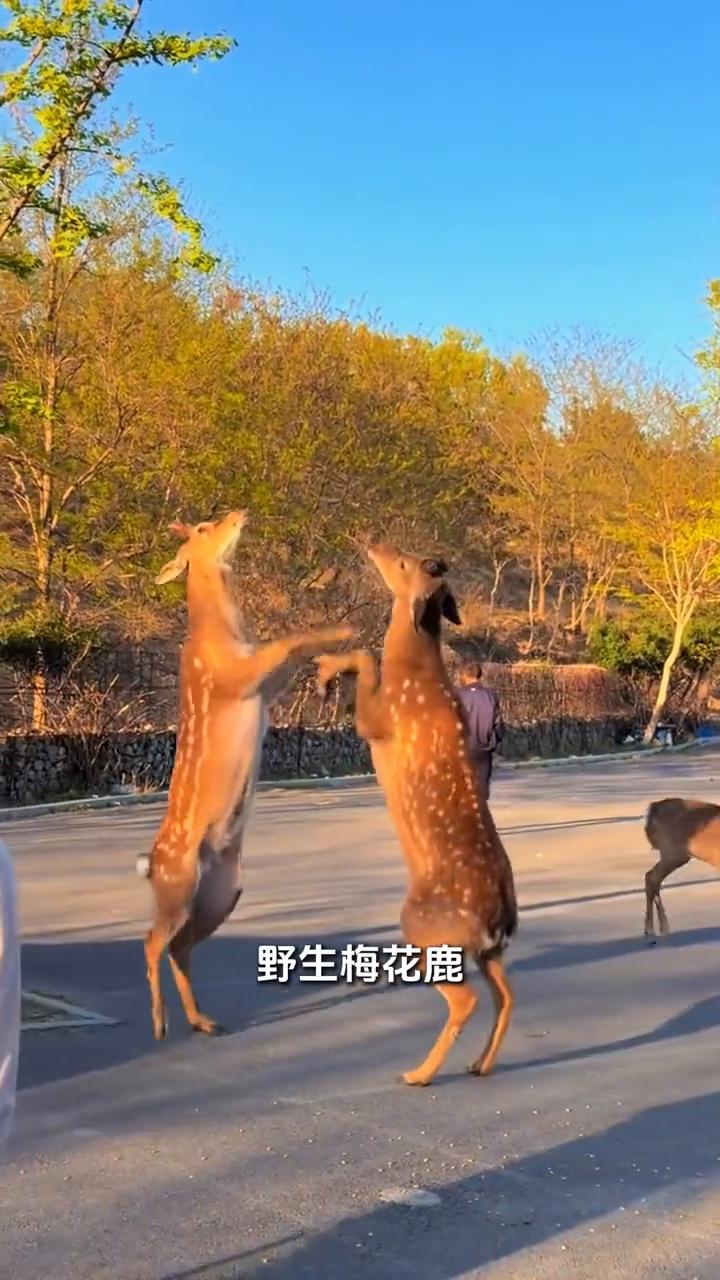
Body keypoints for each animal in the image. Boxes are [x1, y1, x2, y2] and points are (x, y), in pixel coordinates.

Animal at [137, 510, 353, 1041]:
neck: (224, 636)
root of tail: (151, 866)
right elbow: (290, 638)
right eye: (200, 529)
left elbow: (293, 650)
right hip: (177, 883)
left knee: (180, 946)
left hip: (221, 892)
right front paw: (344, 625)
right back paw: (160, 1024)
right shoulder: (236, 678)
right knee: (151, 940)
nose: (238, 514)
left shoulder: (263, 685)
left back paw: (203, 1021)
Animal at [316, 543, 518, 1087]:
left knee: (467, 999)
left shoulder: (378, 721)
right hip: (485, 949)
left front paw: (325, 669)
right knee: (506, 995)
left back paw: (418, 1073)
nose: (375, 546)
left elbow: (367, 658)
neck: (415, 670)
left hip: (424, 929)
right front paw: (323, 668)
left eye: (405, 564)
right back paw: (477, 1064)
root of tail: (498, 918)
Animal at [643, 796, 720, 941]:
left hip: (673, 854)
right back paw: (651, 931)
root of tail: (653, 810)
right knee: (652, 878)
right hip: (672, 853)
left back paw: (660, 929)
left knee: (652, 878)